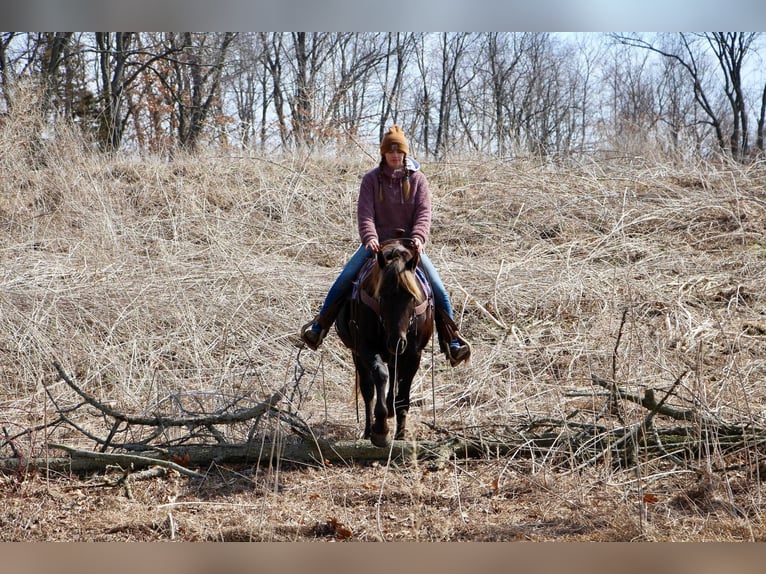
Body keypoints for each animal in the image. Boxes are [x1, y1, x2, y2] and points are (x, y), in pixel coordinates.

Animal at [334, 238, 432, 450]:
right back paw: (368, 429)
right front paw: (380, 431)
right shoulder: (365, 348)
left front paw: (401, 435)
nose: (396, 341)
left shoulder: (413, 354)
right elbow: (379, 376)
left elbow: (402, 394)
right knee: (367, 389)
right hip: (357, 354)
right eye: (382, 296)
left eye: (411, 297)